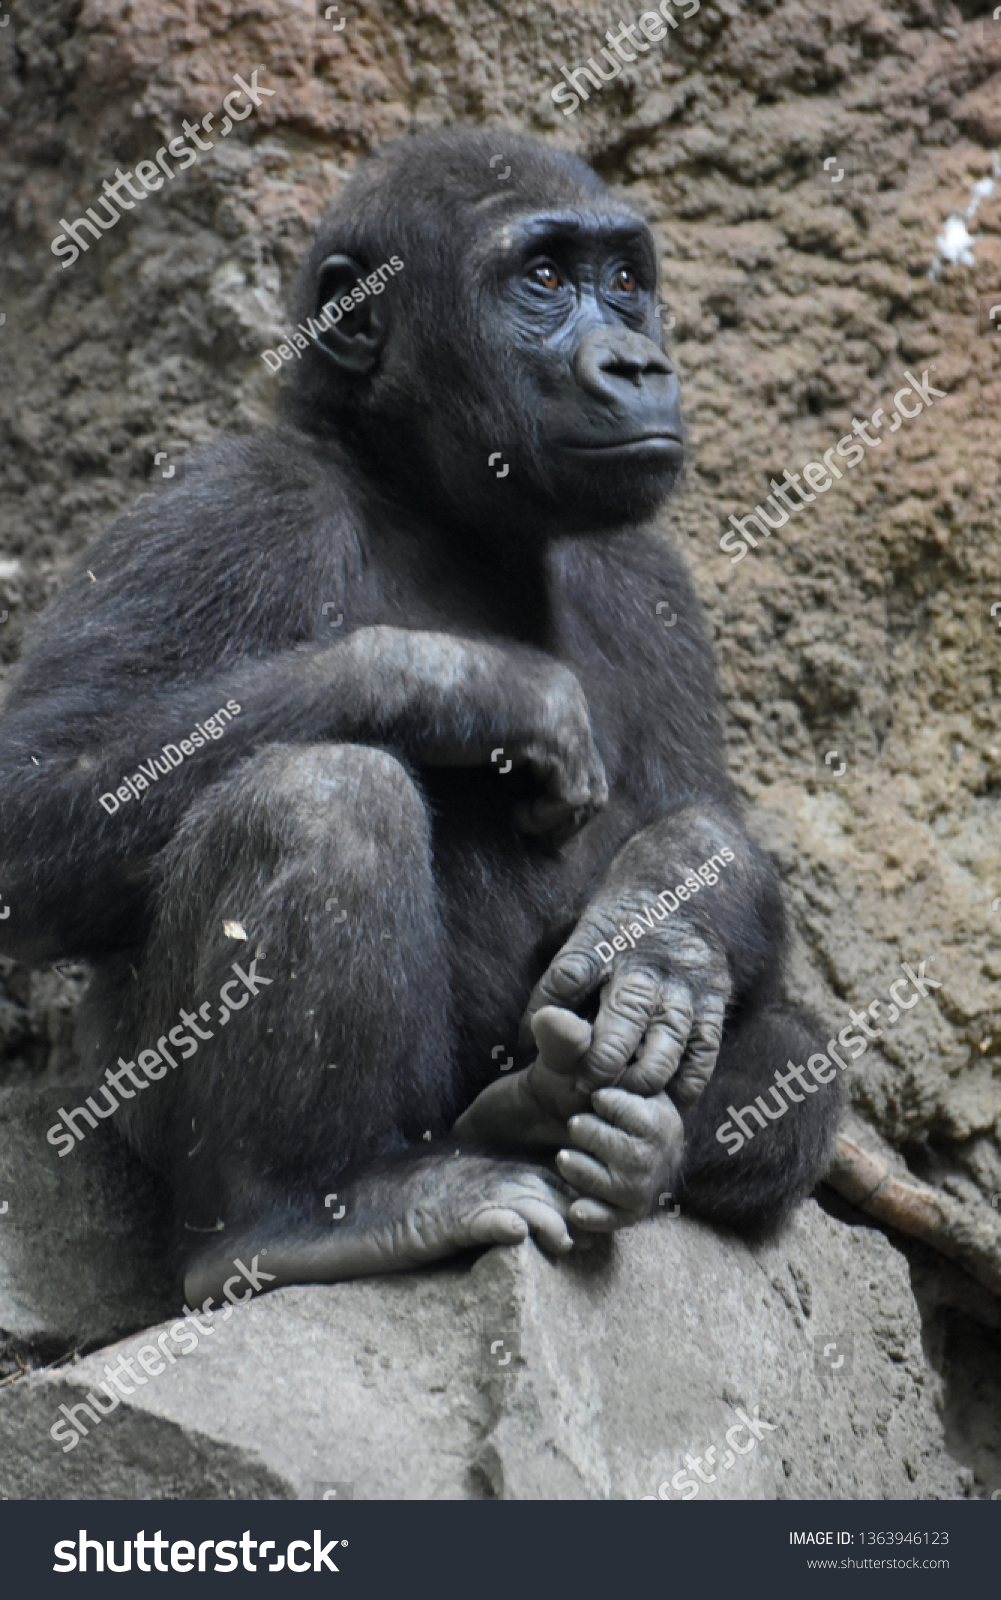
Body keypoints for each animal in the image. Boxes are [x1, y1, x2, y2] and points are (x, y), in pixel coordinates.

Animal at [0, 124, 837, 1299]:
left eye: (626, 283)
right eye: (543, 279)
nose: (636, 362)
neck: (431, 498)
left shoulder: (650, 577)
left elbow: (708, 823)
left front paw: (664, 931)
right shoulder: (227, 503)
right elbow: (35, 803)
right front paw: (469, 688)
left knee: (798, 1066)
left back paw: (600, 1136)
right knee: (322, 794)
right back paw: (297, 1213)